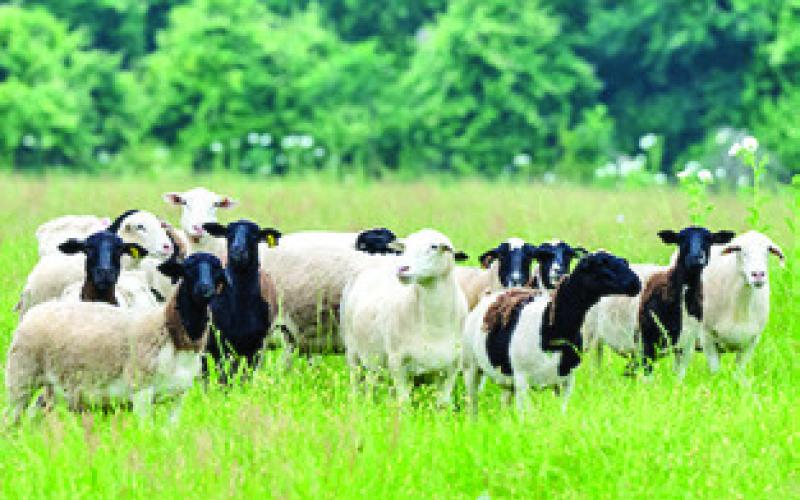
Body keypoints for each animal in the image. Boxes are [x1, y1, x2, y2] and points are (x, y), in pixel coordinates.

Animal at [5, 253, 228, 422]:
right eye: (187, 270)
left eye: (218, 270)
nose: (205, 289)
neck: (172, 335)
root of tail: (34, 311)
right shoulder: (141, 390)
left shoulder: (177, 397)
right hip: (21, 377)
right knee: (11, 419)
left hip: (53, 388)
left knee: (34, 417)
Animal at [341, 229, 469, 406]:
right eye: (405, 247)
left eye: (434, 246)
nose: (402, 268)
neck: (434, 325)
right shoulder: (397, 363)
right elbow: (404, 402)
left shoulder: (451, 367)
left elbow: (442, 404)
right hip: (353, 351)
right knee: (356, 381)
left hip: (375, 359)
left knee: (371, 382)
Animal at [462, 252, 641, 414]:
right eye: (602, 265)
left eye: (624, 262)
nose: (637, 283)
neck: (550, 330)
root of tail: (494, 295)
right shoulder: (523, 381)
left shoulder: (565, 382)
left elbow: (561, 413)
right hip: (471, 368)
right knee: (472, 404)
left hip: (507, 380)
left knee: (505, 404)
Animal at [637, 227, 735, 377]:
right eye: (681, 239)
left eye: (709, 239)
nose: (697, 257)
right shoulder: (648, 339)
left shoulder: (686, 343)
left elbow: (679, 375)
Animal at [699, 231, 785, 374]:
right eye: (740, 249)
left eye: (767, 251)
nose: (758, 274)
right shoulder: (707, 337)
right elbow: (715, 372)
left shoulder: (751, 341)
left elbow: (738, 373)